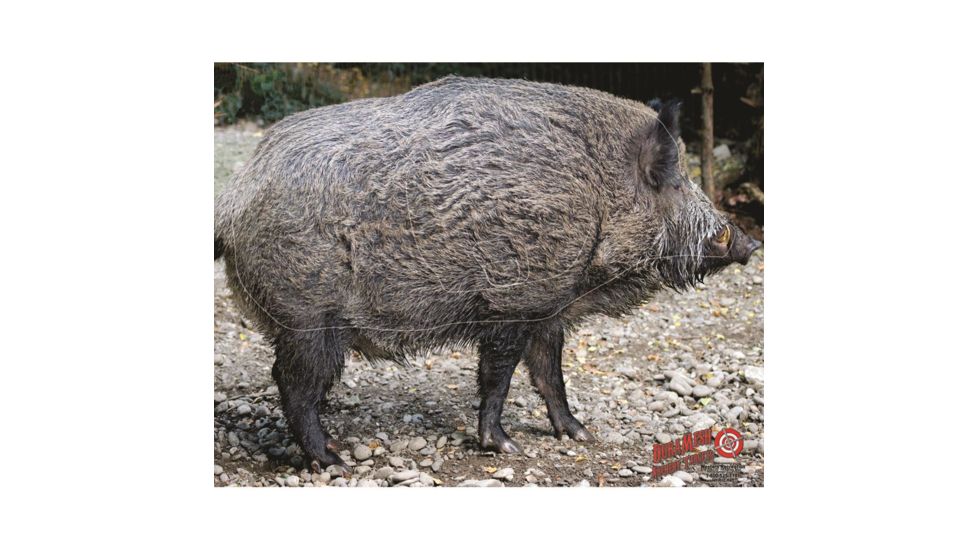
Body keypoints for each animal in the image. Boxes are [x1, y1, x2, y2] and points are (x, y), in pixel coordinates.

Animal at [214, 76, 760, 472]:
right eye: (673, 179)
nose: (749, 241)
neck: (598, 197)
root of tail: (235, 197)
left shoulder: (548, 308)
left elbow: (550, 374)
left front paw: (579, 433)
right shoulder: (512, 302)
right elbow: (498, 376)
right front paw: (504, 446)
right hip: (306, 316)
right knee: (293, 385)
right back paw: (334, 461)